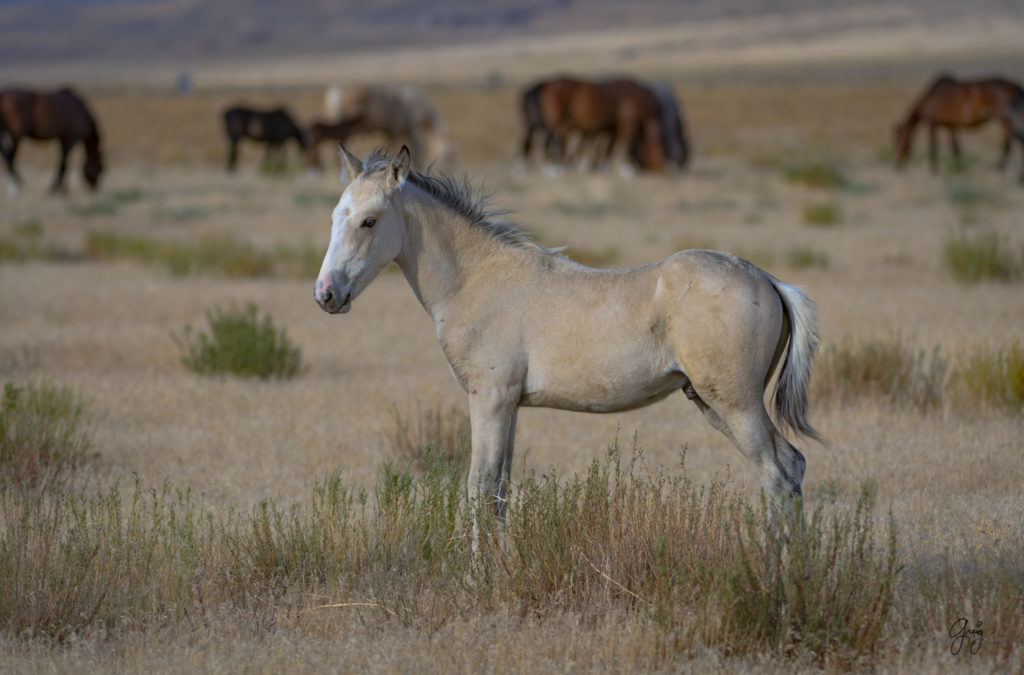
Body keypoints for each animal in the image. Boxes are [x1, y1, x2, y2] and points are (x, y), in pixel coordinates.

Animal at [315, 146, 819, 528]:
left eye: (369, 221)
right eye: (336, 215)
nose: (326, 294)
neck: (476, 279)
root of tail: (769, 280)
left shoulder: (489, 400)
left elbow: (480, 490)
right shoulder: (510, 406)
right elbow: (500, 491)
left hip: (736, 405)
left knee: (776, 476)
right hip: (712, 403)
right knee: (792, 466)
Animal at [892, 73, 1024, 181]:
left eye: (901, 142)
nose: (898, 166)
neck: (931, 97)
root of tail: (1014, 87)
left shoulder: (932, 124)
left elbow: (933, 147)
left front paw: (934, 171)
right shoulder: (951, 127)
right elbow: (956, 149)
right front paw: (958, 170)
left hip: (1004, 119)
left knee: (1014, 141)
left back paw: (1013, 175)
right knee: (1008, 142)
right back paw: (1000, 169)